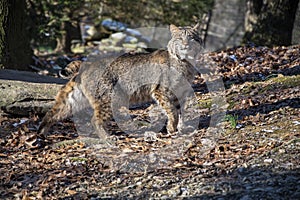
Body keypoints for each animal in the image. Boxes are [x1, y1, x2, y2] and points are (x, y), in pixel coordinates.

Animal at [37, 23, 202, 139]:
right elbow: (172, 110)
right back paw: (108, 139)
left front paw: (181, 128)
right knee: (94, 119)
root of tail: (87, 63)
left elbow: (181, 109)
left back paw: (40, 135)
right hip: (108, 98)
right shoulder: (161, 90)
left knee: (53, 112)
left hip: (74, 99)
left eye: (191, 38)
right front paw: (172, 128)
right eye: (180, 38)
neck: (185, 62)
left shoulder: (181, 90)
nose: (186, 45)